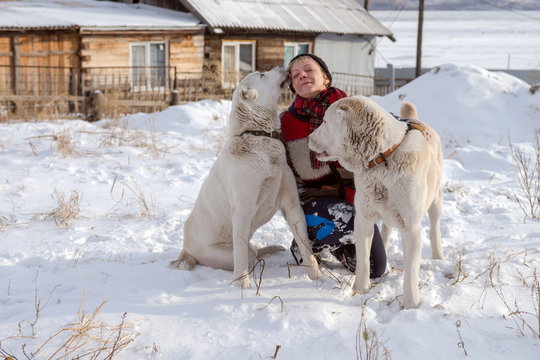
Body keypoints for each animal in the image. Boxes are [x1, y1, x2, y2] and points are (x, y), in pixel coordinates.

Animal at [170, 67, 320, 286]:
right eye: (263, 75)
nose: (283, 67)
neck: (258, 135)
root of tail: (186, 249)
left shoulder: (292, 206)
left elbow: (305, 244)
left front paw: (317, 276)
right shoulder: (242, 211)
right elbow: (240, 255)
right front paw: (242, 284)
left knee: (255, 251)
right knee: (248, 255)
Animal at [308, 96, 442, 310]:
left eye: (325, 122)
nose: (309, 138)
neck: (381, 158)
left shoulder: (412, 228)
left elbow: (411, 270)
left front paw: (412, 304)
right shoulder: (363, 219)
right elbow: (363, 260)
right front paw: (361, 290)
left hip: (435, 201)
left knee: (435, 228)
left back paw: (439, 258)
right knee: (386, 231)